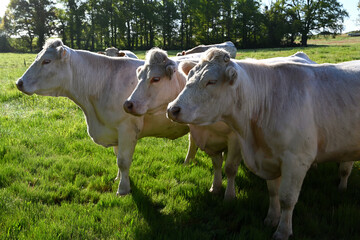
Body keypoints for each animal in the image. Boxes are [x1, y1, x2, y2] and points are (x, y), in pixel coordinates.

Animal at [16, 39, 197, 196]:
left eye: (46, 61)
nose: (19, 82)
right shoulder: (114, 130)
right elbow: (118, 157)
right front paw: (118, 178)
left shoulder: (127, 128)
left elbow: (123, 160)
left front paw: (123, 189)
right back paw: (187, 164)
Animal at [168, 47, 360, 239]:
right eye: (189, 76)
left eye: (211, 81)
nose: (172, 109)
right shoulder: (269, 158)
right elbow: (273, 192)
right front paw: (271, 219)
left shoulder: (296, 160)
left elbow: (287, 199)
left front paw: (282, 231)